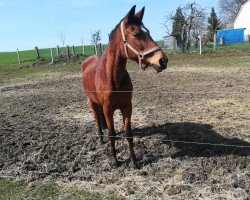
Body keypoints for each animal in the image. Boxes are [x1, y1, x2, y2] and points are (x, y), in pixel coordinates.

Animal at [82, 5, 168, 167]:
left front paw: (133, 160)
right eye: (136, 34)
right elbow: (111, 134)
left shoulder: (127, 107)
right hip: (92, 102)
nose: (163, 60)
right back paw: (101, 139)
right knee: (97, 119)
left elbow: (129, 134)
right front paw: (114, 160)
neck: (113, 78)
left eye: (148, 32)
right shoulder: (108, 109)